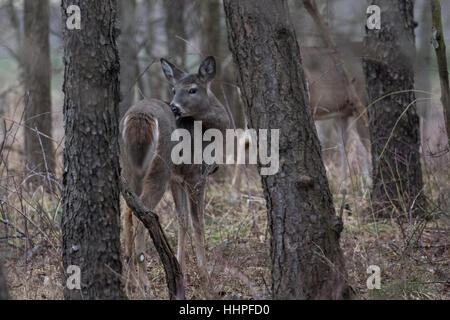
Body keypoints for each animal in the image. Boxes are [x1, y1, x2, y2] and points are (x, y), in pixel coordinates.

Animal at [120, 57, 229, 292]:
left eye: (192, 89)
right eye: (173, 89)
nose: (174, 106)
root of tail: (138, 117)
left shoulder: (177, 179)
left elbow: (182, 219)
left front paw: (182, 271)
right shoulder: (196, 175)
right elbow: (198, 223)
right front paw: (205, 277)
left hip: (129, 167)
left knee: (127, 211)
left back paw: (130, 281)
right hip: (159, 170)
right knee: (143, 213)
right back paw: (144, 284)